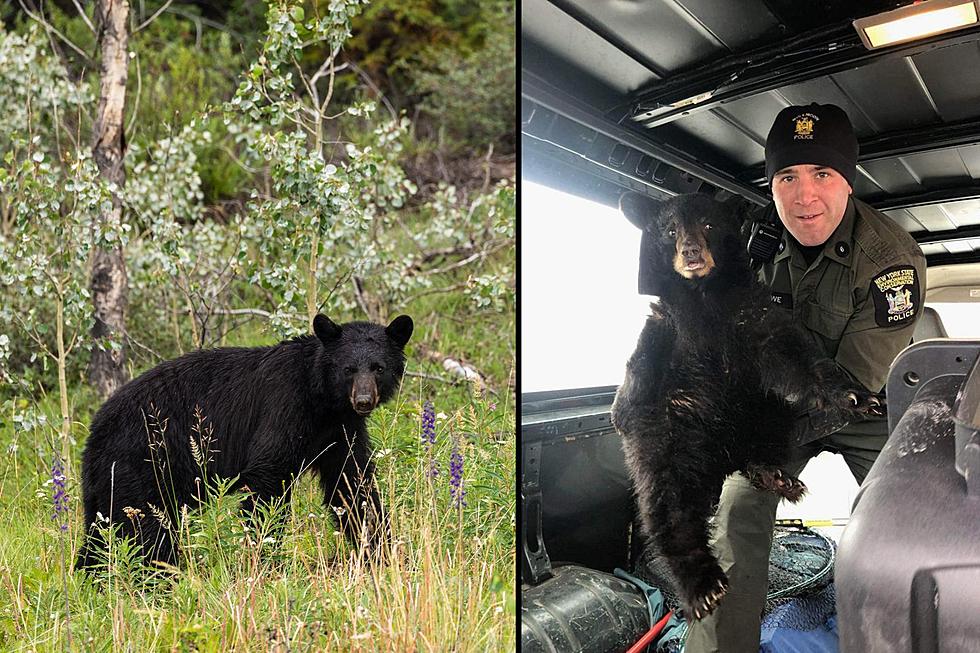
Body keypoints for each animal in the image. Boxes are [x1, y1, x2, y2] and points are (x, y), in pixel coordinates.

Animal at [77, 314, 414, 568]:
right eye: (348, 369)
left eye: (378, 368)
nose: (363, 400)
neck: (322, 401)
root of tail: (94, 433)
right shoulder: (284, 407)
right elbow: (268, 477)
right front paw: (264, 554)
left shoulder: (340, 431)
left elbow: (352, 484)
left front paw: (382, 549)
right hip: (143, 464)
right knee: (145, 530)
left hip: (111, 483)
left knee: (101, 532)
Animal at [608, 192, 876, 616]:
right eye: (670, 230)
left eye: (709, 224)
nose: (691, 252)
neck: (703, 298)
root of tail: (723, 459)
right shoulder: (667, 330)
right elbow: (640, 374)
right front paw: (622, 411)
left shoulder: (751, 317)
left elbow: (796, 355)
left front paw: (855, 396)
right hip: (674, 450)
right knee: (669, 506)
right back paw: (704, 585)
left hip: (763, 409)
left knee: (764, 443)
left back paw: (775, 475)